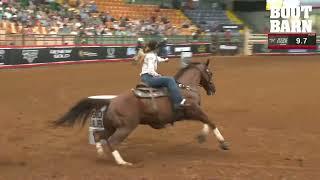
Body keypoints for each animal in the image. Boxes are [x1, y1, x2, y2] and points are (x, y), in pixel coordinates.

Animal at [55, 59, 230, 167]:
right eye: (210, 73)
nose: (213, 89)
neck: (184, 87)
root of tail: (111, 101)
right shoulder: (193, 110)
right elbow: (211, 121)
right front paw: (223, 143)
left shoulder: (192, 113)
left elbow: (207, 122)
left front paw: (201, 137)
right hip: (126, 128)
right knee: (112, 142)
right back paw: (123, 163)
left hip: (112, 126)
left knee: (99, 135)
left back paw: (100, 153)